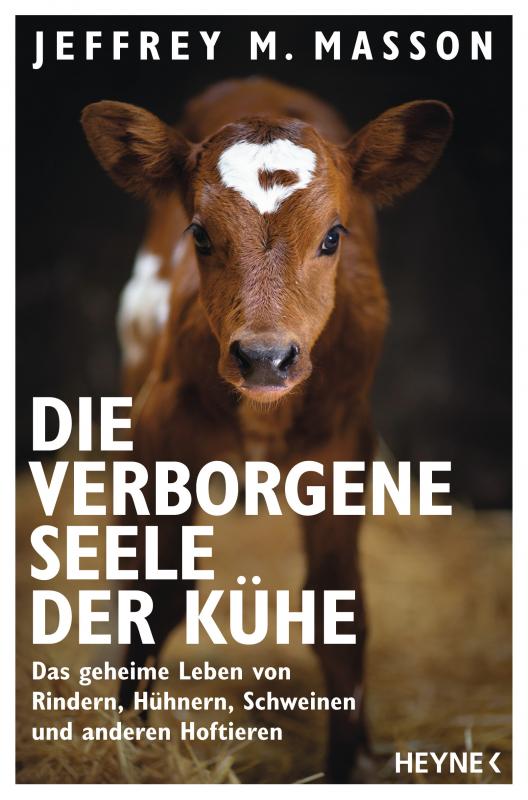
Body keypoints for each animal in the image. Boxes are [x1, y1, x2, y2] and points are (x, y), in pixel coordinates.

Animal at [82, 77, 452, 782]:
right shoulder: (158, 435)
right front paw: (131, 746)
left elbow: (340, 608)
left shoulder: (343, 450)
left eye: (333, 236)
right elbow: (156, 596)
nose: (264, 358)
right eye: (200, 234)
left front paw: (349, 760)